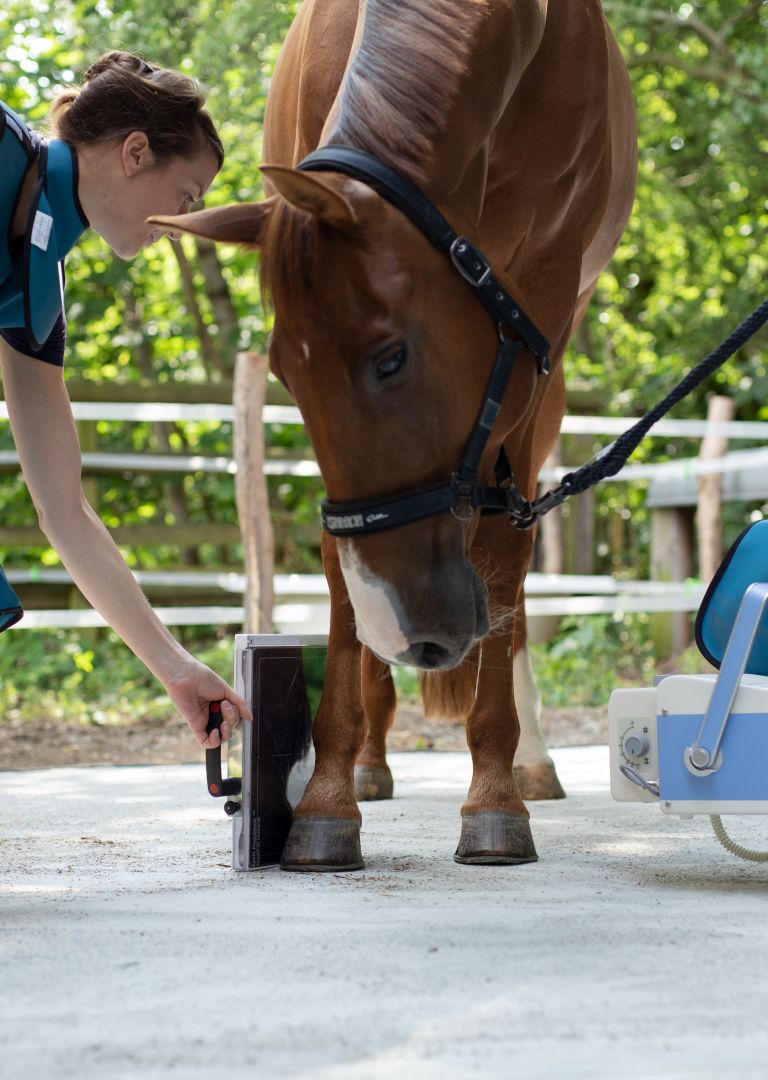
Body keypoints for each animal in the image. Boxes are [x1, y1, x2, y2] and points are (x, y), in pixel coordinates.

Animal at [152, 0, 637, 871]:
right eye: (285, 374)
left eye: (391, 356)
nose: (411, 628)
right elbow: (339, 568)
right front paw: (327, 795)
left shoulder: (537, 321)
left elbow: (504, 551)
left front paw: (495, 796)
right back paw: (370, 763)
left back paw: (530, 759)